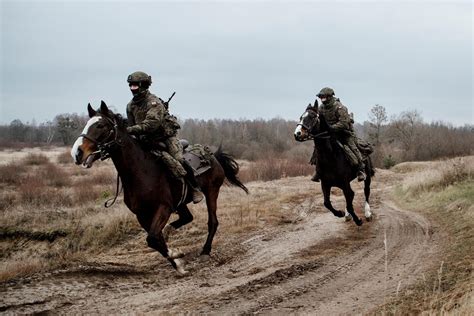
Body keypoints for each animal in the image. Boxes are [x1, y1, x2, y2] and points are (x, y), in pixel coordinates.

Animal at [71, 101, 250, 274]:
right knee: (186, 218)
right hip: (181, 203)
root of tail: (214, 156)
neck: (141, 171)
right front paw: (178, 263)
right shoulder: (142, 215)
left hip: (212, 191)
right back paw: (170, 232)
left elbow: (153, 238)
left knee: (212, 222)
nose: (77, 153)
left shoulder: (163, 207)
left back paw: (205, 251)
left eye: (100, 125)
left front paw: (176, 255)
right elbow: (155, 240)